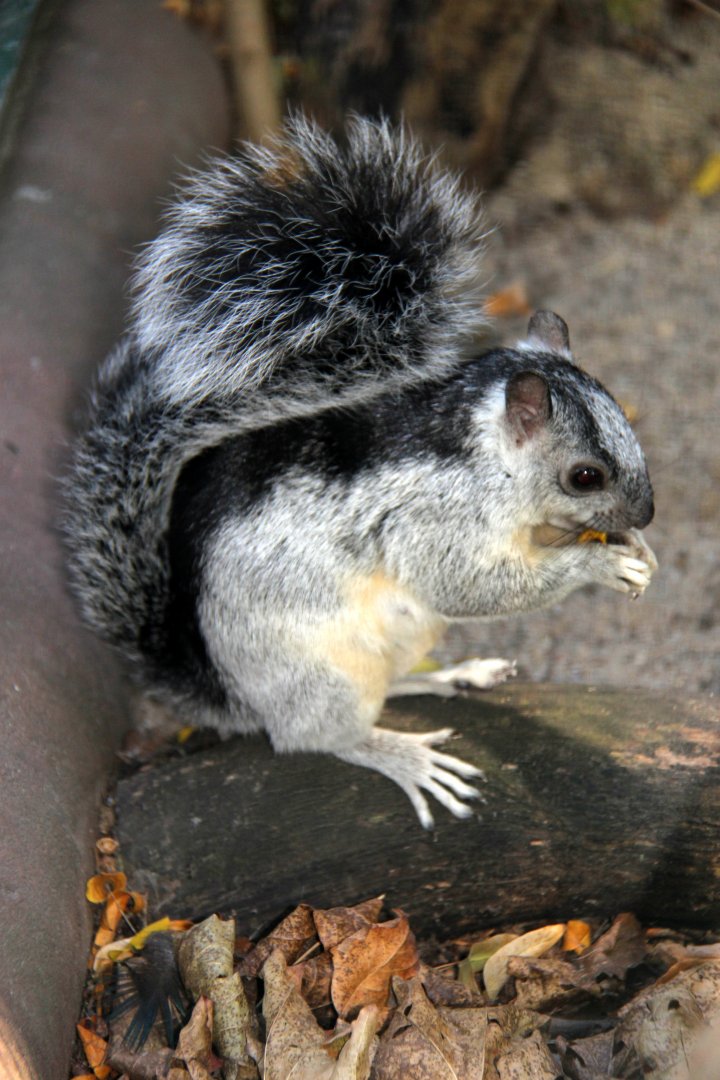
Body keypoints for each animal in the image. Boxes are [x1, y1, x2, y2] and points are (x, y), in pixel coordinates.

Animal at [64, 115, 657, 828]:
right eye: (584, 476)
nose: (648, 512)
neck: (488, 457)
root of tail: (234, 698)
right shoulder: (435, 520)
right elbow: (473, 584)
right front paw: (601, 562)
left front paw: (635, 547)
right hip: (325, 677)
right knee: (321, 737)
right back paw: (405, 756)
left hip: (405, 634)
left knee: (394, 681)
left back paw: (451, 674)